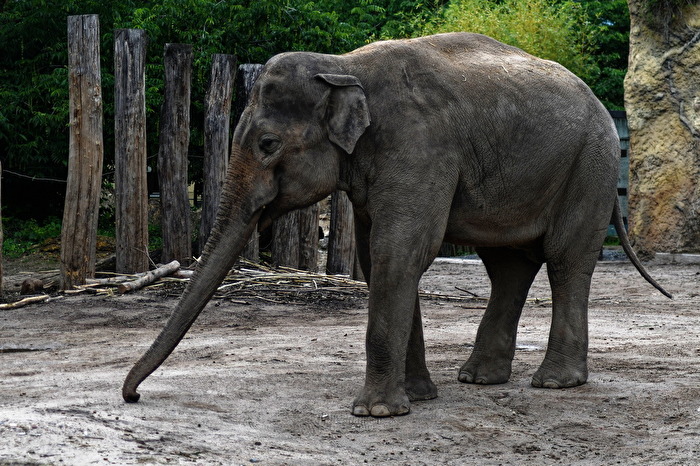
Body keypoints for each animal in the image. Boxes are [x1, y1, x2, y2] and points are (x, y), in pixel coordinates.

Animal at [122, 32, 671, 417]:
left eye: (267, 145)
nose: (131, 397)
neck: (344, 66)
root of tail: (604, 108)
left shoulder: (420, 147)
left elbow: (400, 250)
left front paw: (377, 412)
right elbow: (377, 256)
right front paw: (419, 397)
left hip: (590, 166)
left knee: (564, 259)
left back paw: (555, 383)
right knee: (508, 266)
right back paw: (478, 379)